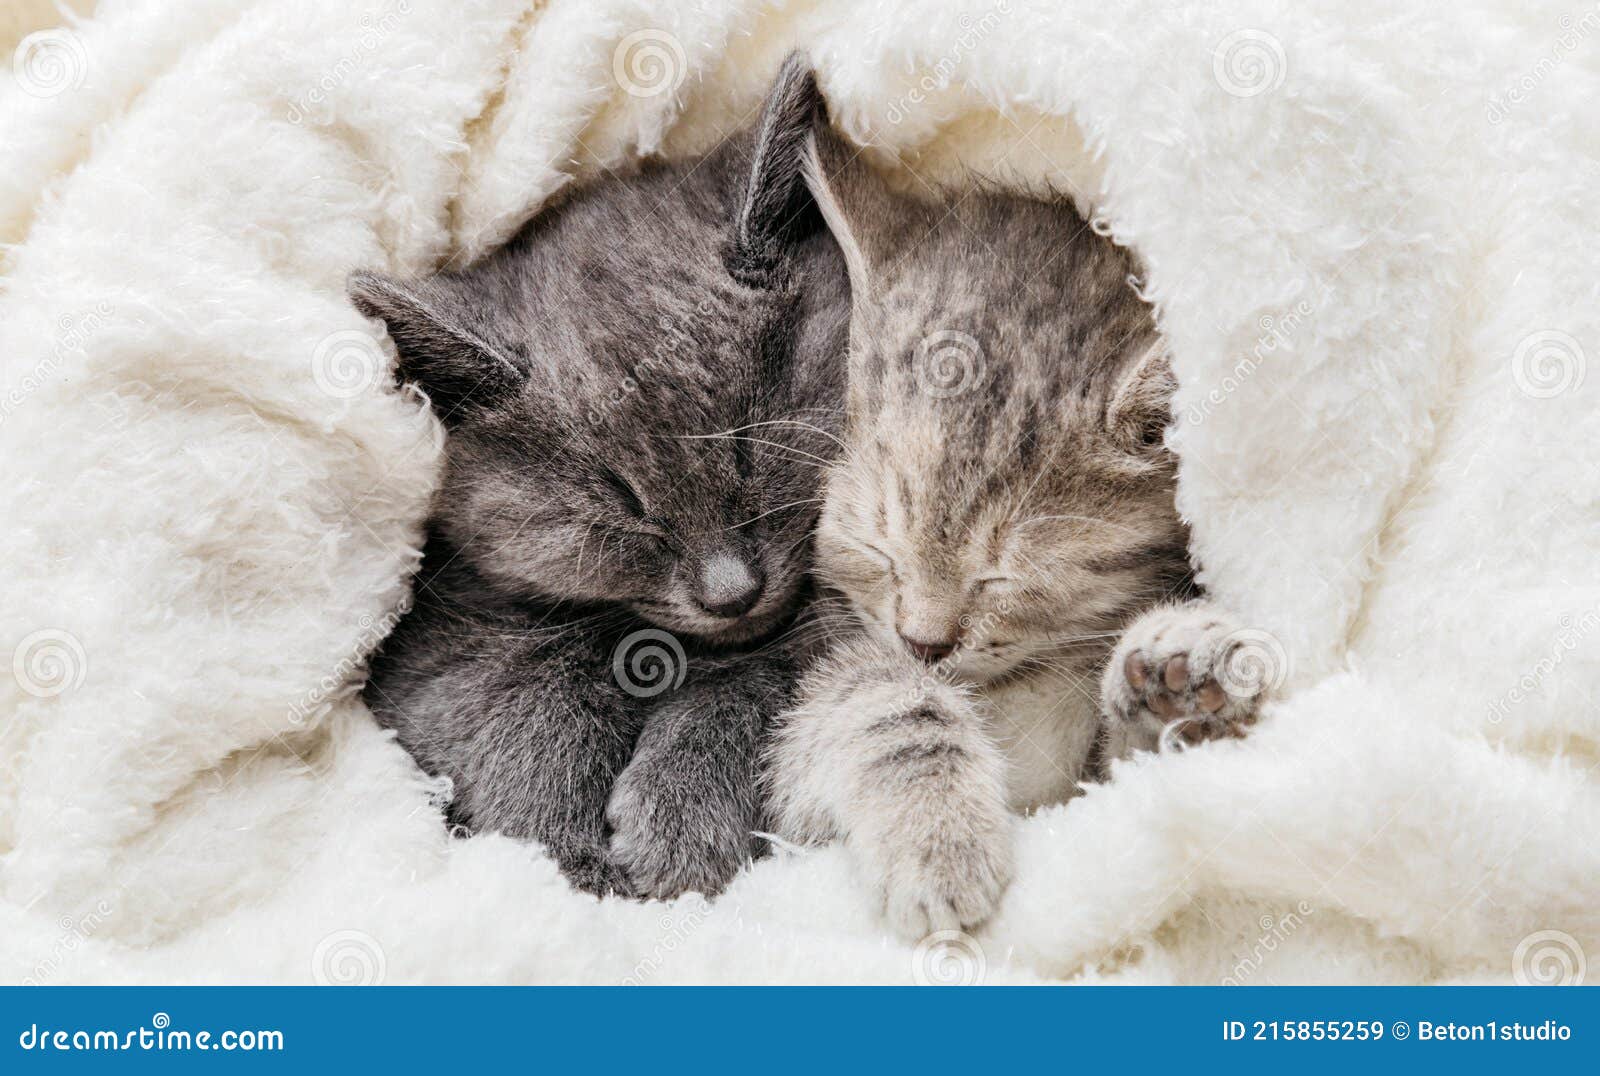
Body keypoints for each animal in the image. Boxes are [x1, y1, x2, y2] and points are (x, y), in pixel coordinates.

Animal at [350, 56, 851, 896]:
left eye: (749, 448)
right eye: (623, 503)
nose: (729, 592)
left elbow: (775, 665)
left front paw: (683, 810)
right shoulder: (425, 645)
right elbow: (515, 692)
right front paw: (563, 848)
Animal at [768, 130, 1267, 941]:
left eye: (1002, 575)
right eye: (880, 545)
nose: (925, 642)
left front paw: (1183, 666)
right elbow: (880, 697)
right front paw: (937, 835)